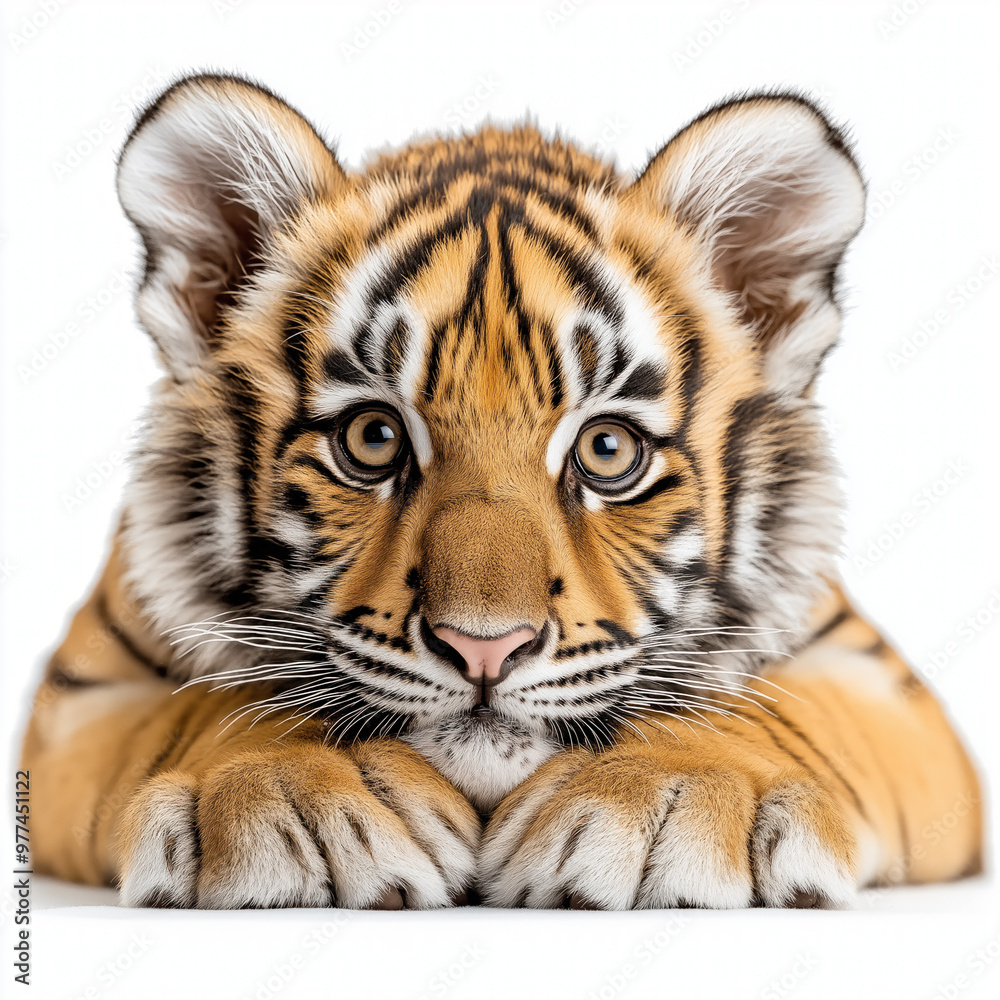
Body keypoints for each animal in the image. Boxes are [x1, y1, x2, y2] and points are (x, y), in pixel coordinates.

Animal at [21, 73, 981, 911]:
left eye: (607, 450)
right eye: (372, 440)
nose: (485, 650)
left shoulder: (881, 685)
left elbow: (773, 705)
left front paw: (665, 793)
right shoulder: (78, 696)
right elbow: (206, 705)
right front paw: (293, 793)